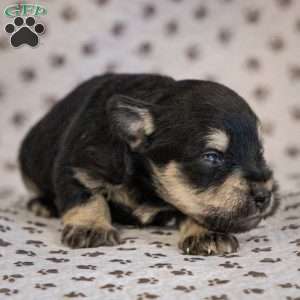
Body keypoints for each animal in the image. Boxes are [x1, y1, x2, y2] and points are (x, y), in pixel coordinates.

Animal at [19, 73, 278, 255]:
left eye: (260, 152)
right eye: (212, 157)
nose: (265, 195)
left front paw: (207, 234)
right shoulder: (75, 167)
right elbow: (88, 197)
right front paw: (91, 228)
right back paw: (43, 204)